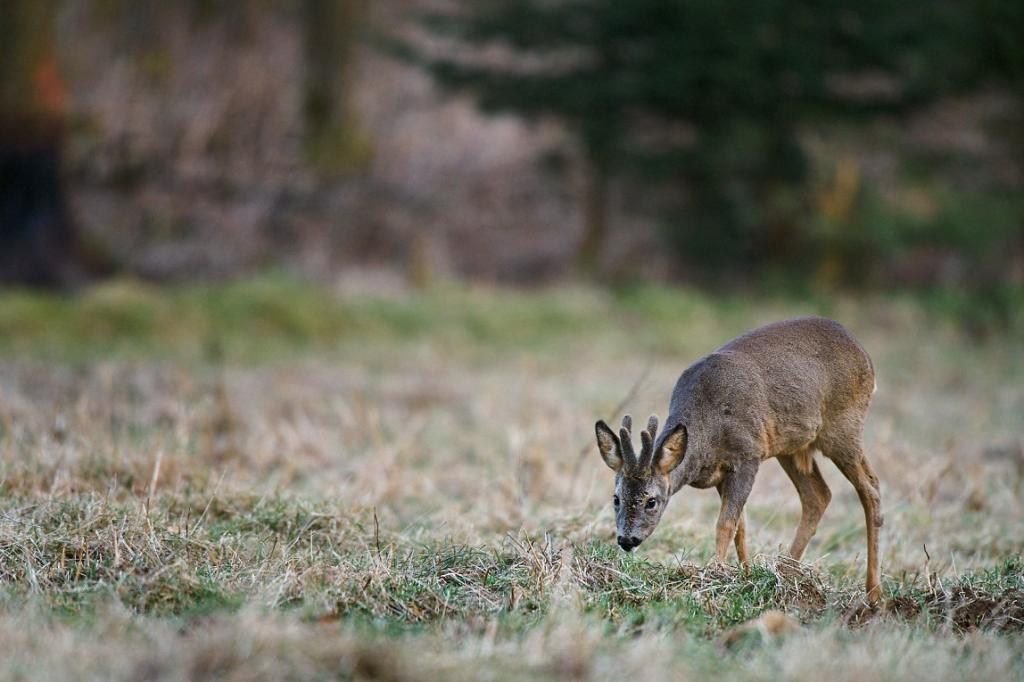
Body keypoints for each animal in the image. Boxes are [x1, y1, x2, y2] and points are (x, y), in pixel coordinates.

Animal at [594, 317, 883, 603]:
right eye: (616, 498)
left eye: (652, 501)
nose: (626, 539)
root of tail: (864, 354)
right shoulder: (721, 473)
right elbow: (740, 528)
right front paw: (746, 576)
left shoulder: (748, 454)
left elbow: (725, 524)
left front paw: (715, 575)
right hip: (791, 447)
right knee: (819, 495)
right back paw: (787, 571)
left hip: (843, 427)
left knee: (871, 489)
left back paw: (874, 593)